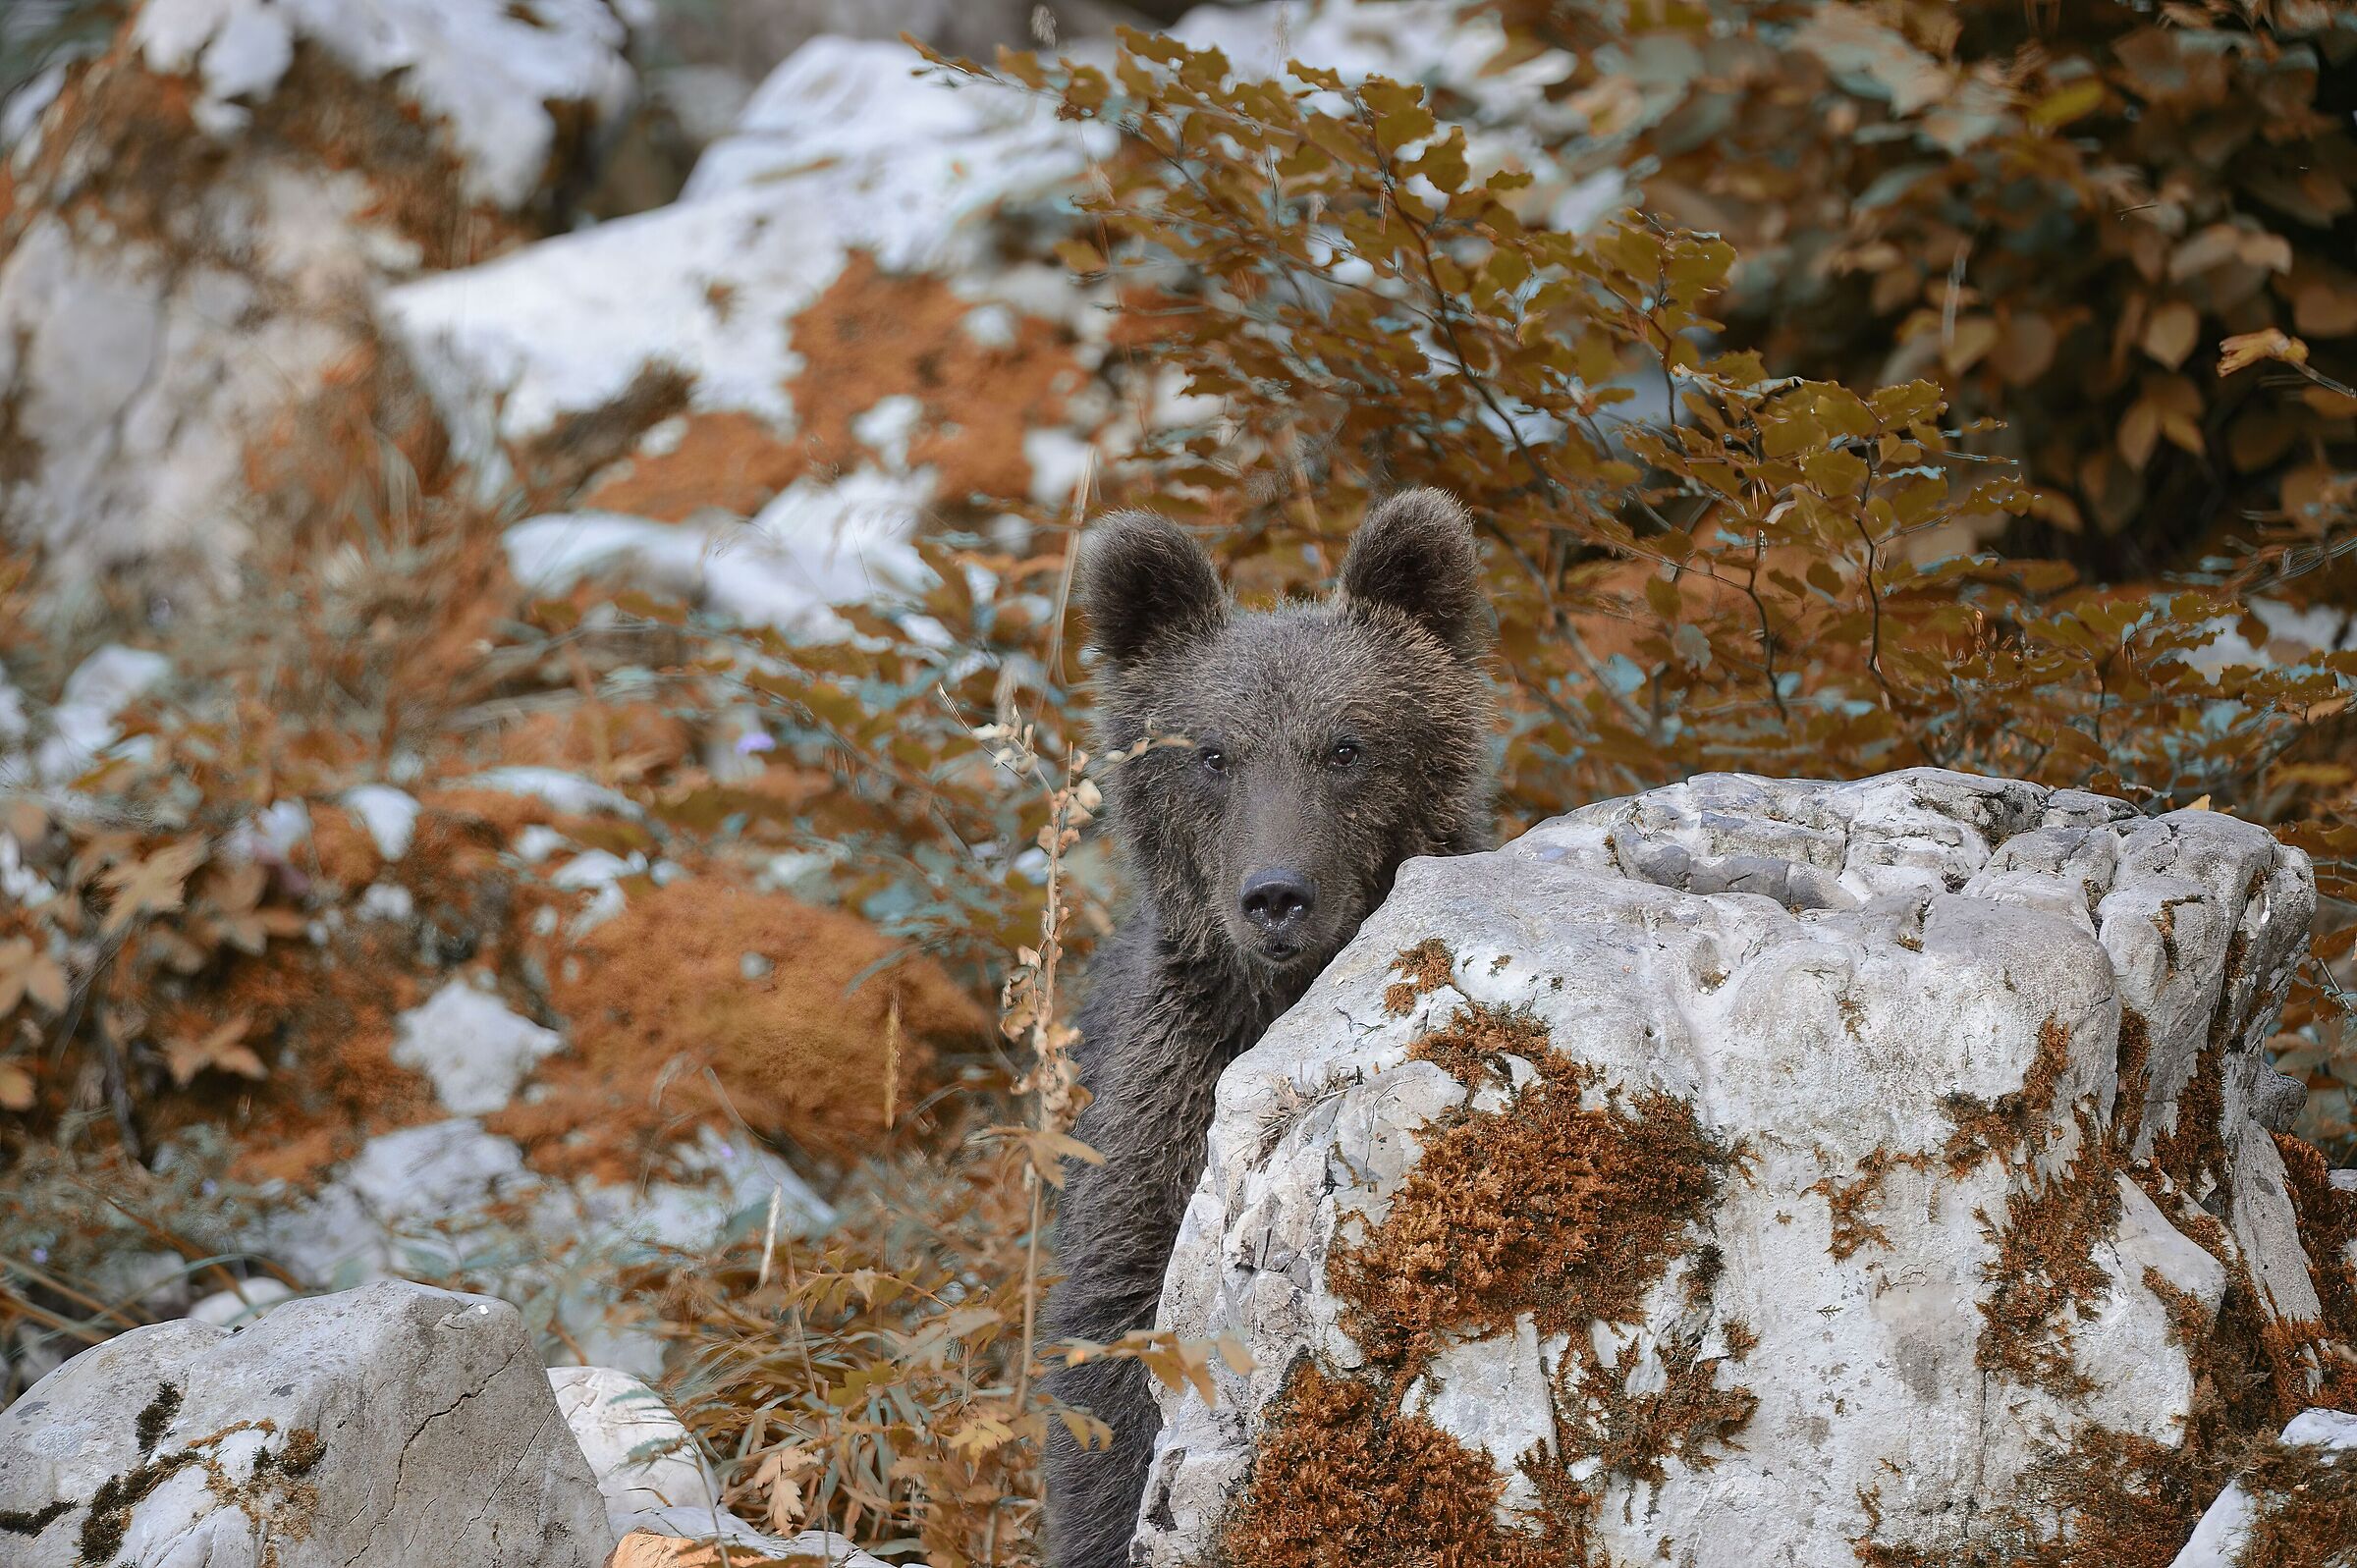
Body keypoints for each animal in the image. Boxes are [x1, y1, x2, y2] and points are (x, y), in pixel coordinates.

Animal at [1041, 489, 1498, 1568]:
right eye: (1213, 753)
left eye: (1348, 745)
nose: (1277, 894)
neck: (1277, 1003)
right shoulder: (1158, 1116)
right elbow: (1117, 1352)